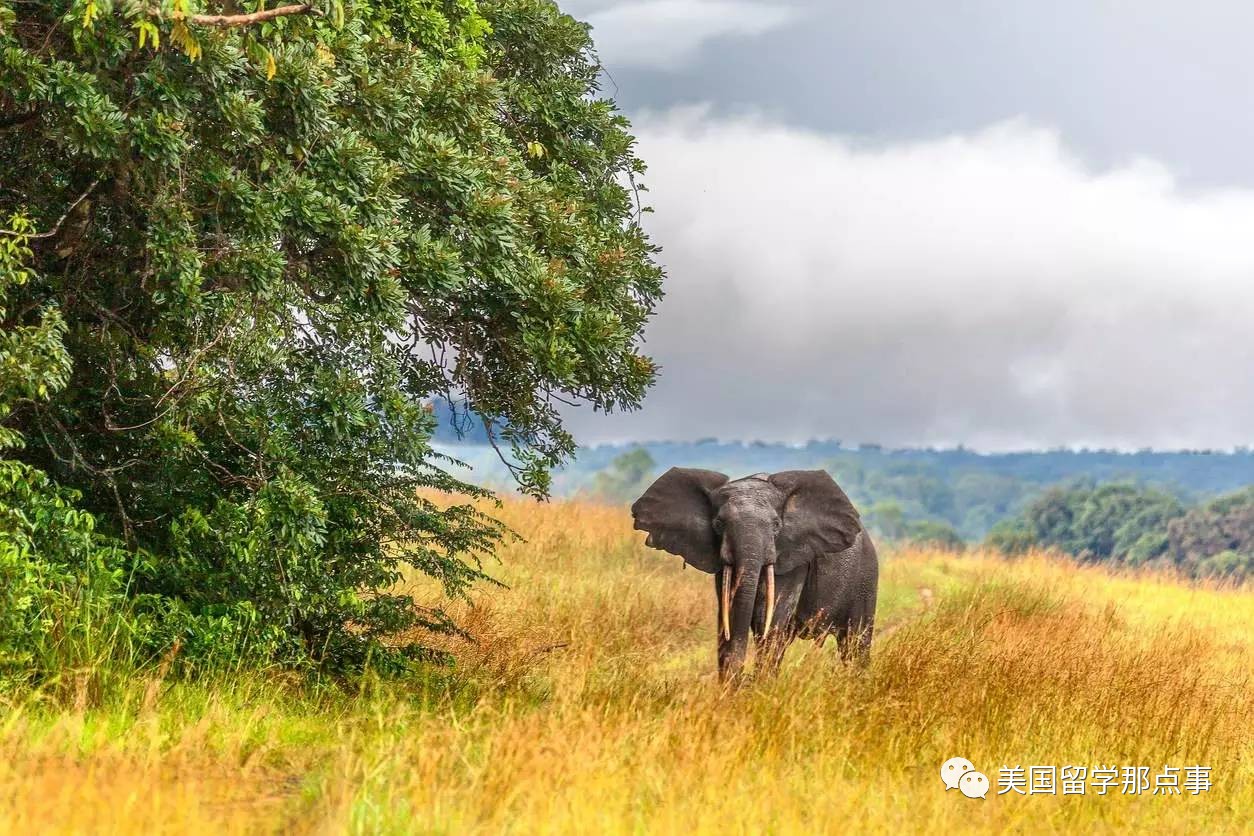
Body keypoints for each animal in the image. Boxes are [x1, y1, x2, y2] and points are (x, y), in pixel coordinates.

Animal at [632, 471, 877, 681]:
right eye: (718, 524)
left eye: (777, 525)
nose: (744, 680)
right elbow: (729, 615)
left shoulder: (791, 559)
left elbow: (768, 619)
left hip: (866, 578)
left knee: (855, 643)